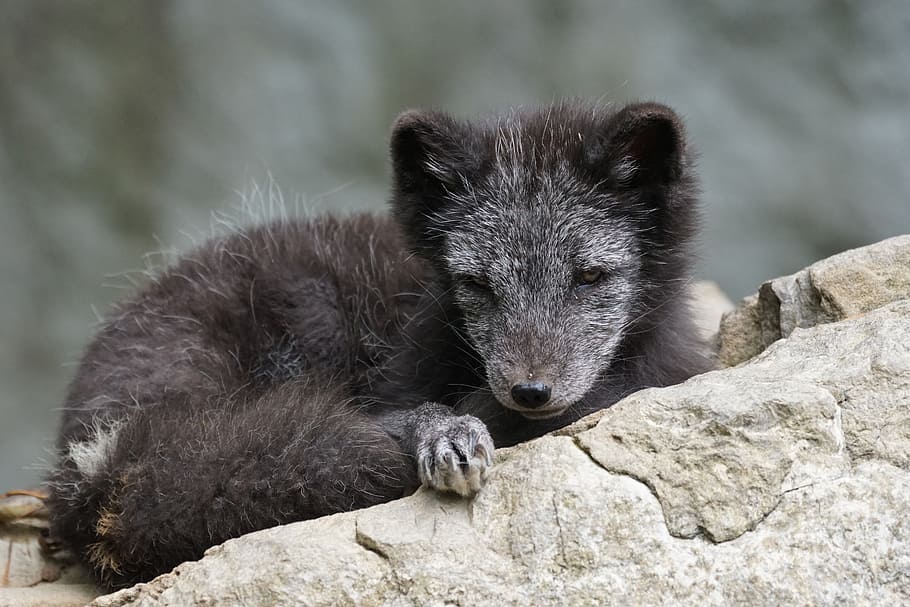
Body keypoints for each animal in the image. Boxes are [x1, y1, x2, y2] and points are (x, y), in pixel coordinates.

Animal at [47, 100, 710, 588]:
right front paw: (442, 431)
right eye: (477, 283)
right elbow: (401, 413)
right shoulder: (396, 382)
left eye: (589, 276)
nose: (530, 391)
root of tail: (90, 460)